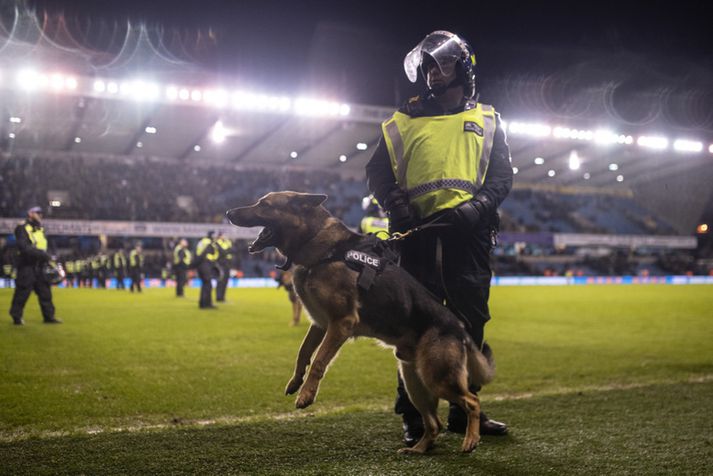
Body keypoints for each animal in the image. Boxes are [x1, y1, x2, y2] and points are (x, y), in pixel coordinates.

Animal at [225, 191, 492, 454]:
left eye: (265, 205)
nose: (228, 212)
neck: (322, 248)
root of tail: (460, 328)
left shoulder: (340, 323)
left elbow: (319, 361)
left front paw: (306, 394)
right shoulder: (320, 324)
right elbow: (303, 353)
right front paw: (295, 382)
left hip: (437, 377)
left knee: (472, 401)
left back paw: (471, 439)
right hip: (415, 380)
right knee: (434, 423)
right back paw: (419, 448)